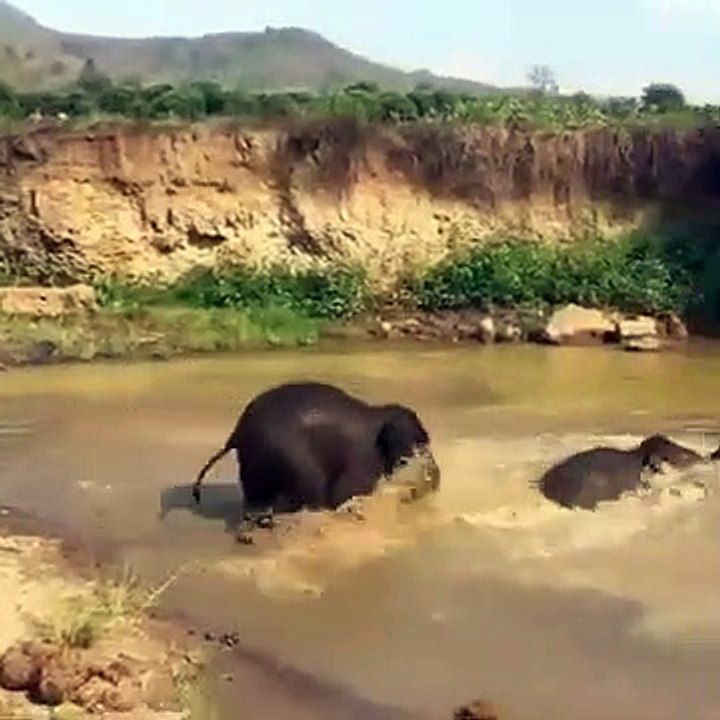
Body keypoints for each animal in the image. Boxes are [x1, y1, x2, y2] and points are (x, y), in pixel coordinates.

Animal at [192, 381, 440, 519]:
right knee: (310, 488)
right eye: (420, 443)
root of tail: (236, 433)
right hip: (290, 456)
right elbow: (345, 493)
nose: (436, 478)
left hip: (252, 463)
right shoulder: (362, 457)